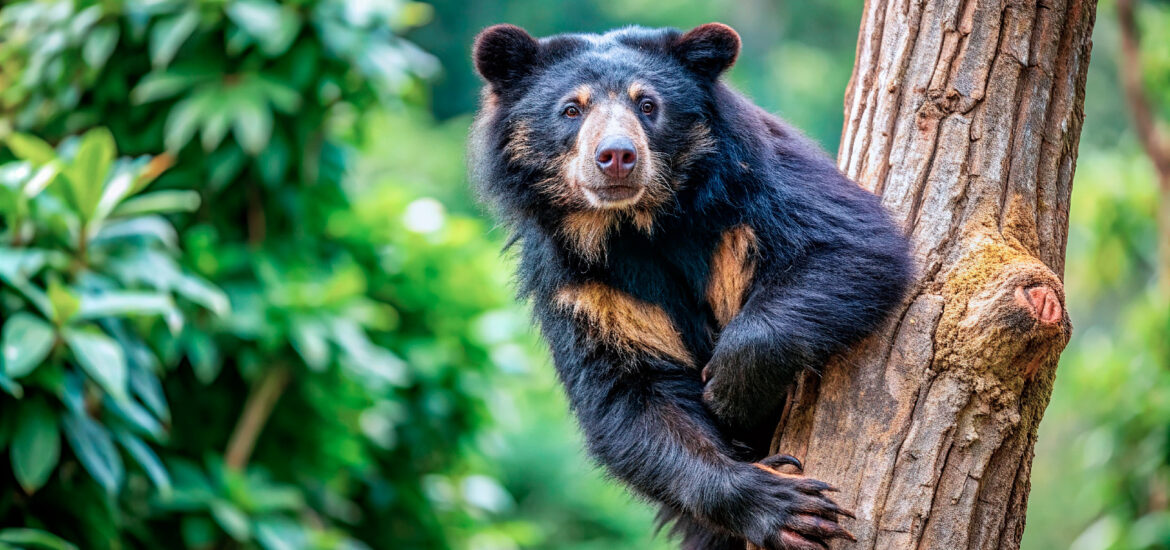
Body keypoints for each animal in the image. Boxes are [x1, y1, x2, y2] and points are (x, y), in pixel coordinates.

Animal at [465, 21, 912, 550]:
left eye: (647, 104)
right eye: (572, 109)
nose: (617, 156)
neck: (638, 224)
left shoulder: (753, 178)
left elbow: (852, 244)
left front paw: (729, 390)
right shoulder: (580, 285)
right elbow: (631, 398)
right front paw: (788, 509)